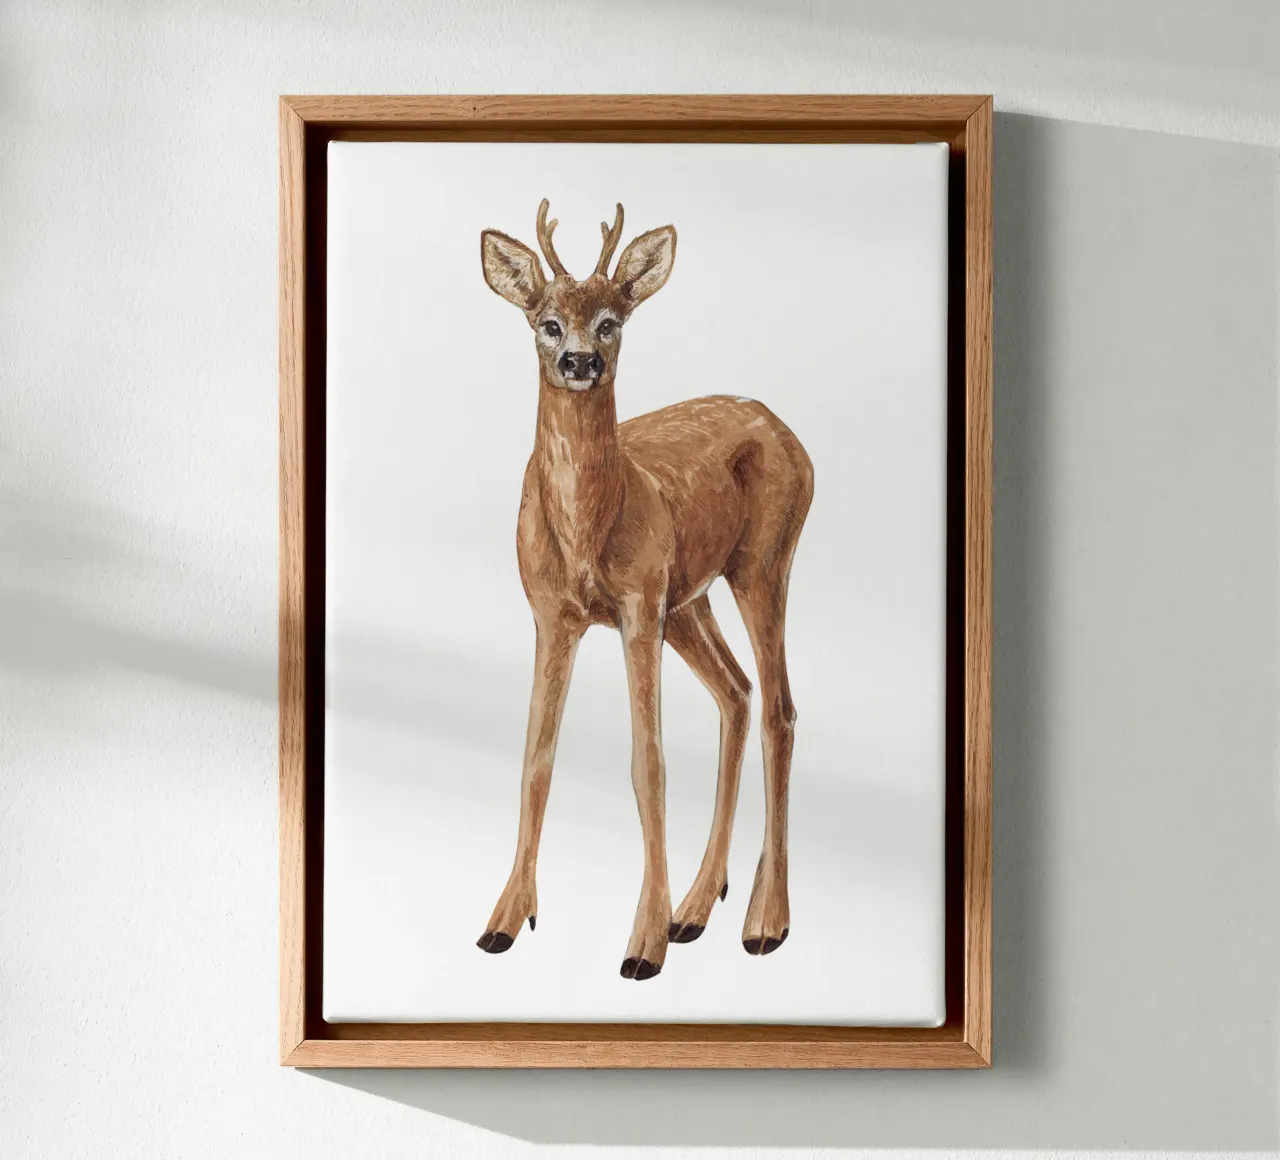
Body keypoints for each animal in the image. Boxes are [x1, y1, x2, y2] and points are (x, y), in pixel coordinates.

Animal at [475, 199, 814, 981]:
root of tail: (791, 436)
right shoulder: (552, 615)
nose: (580, 361)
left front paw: (641, 945)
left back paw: (764, 922)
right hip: (690, 599)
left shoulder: (635, 606)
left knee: (779, 708)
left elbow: (647, 764)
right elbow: (536, 762)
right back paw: (697, 907)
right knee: (737, 691)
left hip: (761, 564)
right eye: (546, 321)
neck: (588, 531)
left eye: (611, 320)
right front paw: (505, 920)